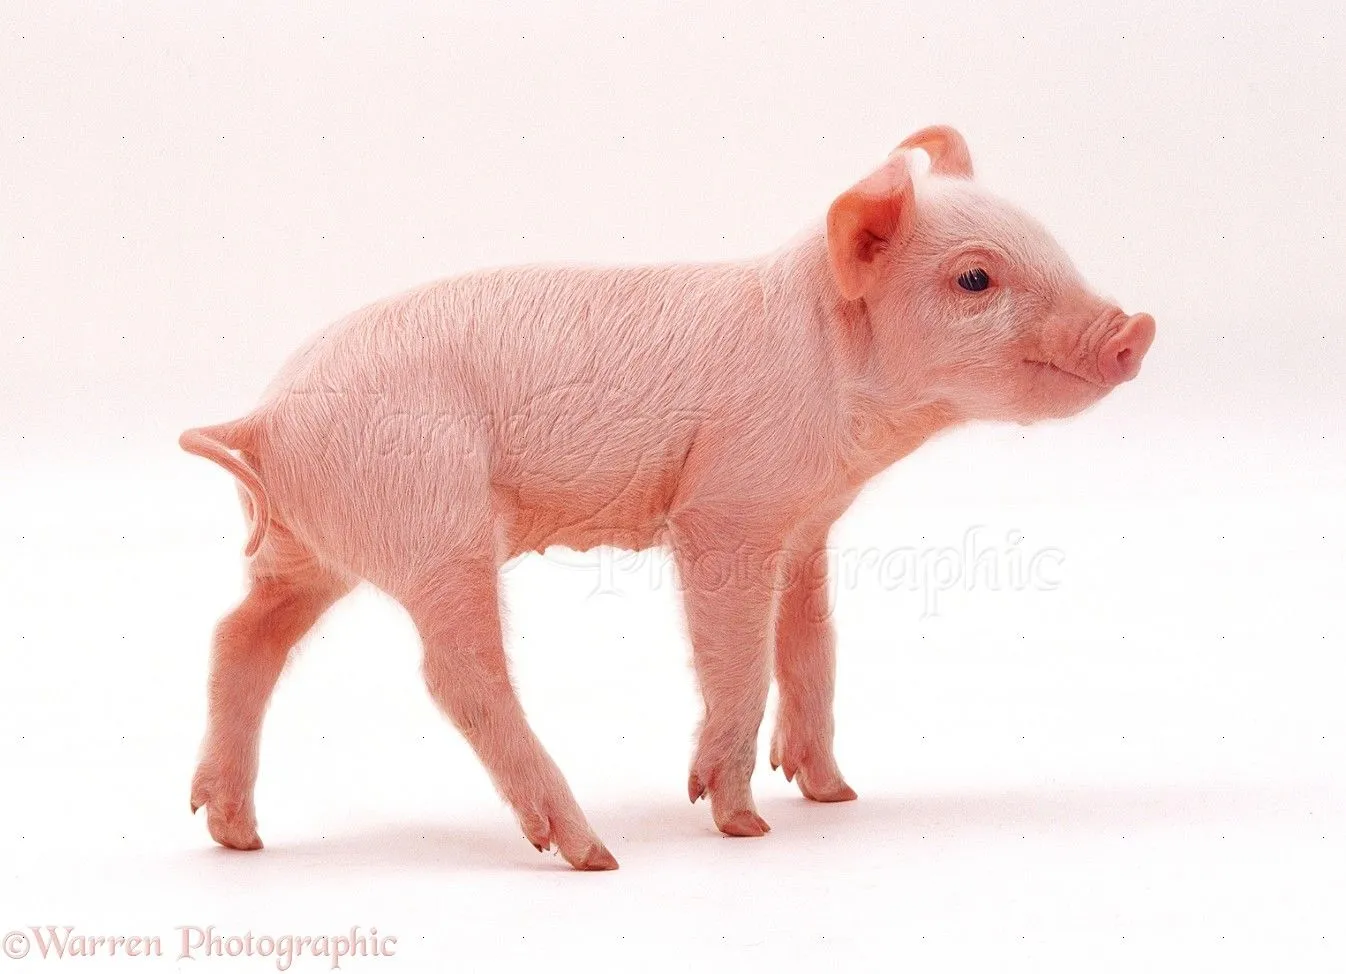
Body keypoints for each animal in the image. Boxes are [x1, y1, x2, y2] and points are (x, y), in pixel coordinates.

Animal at [181, 126, 1155, 870]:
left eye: (1054, 246)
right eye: (975, 279)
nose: (1136, 328)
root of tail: (265, 416)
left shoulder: (805, 524)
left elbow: (813, 646)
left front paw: (835, 795)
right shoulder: (726, 508)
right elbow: (743, 653)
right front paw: (744, 824)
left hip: (309, 544)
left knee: (242, 634)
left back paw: (237, 838)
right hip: (431, 520)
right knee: (454, 674)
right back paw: (593, 853)